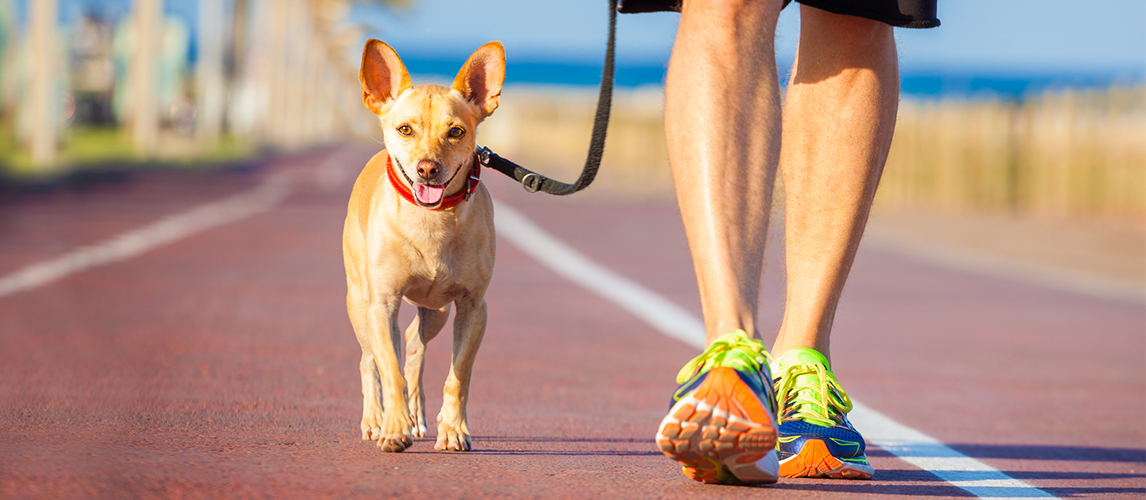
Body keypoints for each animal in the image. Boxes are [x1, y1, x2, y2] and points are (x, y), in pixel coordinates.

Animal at [339, 40, 501, 454]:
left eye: (456, 131)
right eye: (405, 129)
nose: (428, 168)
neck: (430, 222)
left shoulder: (474, 308)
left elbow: (457, 376)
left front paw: (454, 429)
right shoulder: (382, 304)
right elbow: (389, 372)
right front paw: (394, 429)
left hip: (436, 311)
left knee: (413, 344)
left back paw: (419, 414)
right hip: (360, 304)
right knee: (370, 360)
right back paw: (375, 420)